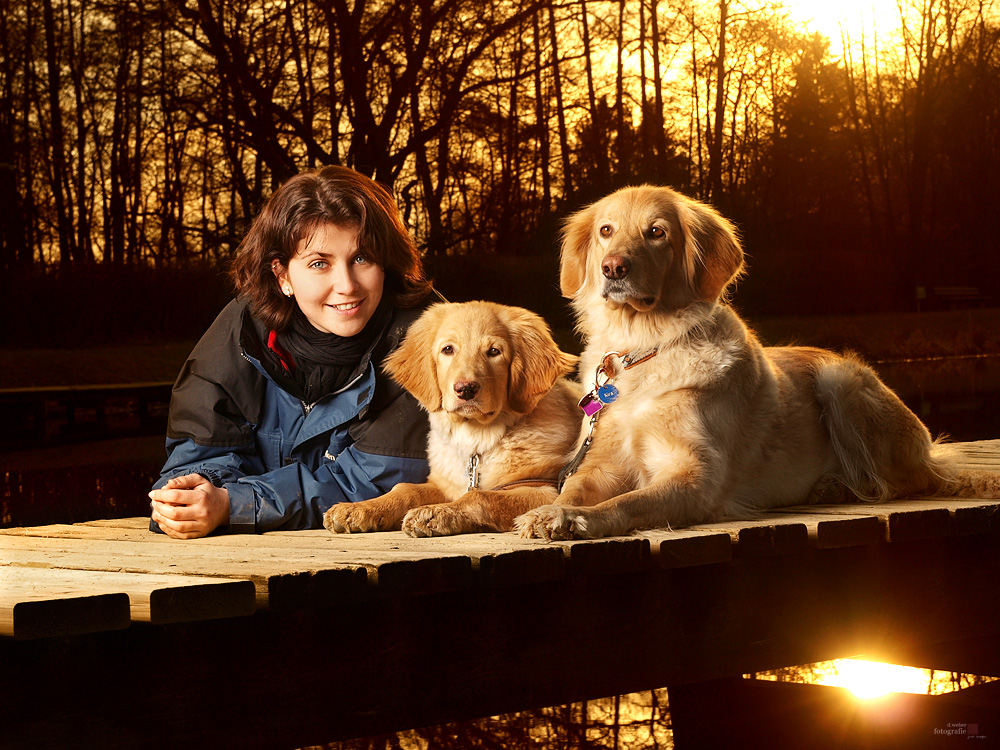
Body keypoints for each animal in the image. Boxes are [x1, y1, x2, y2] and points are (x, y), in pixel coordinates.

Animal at [324, 302, 584, 536]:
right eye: (448, 349)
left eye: (494, 352)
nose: (466, 389)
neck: (477, 440)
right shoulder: (443, 483)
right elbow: (406, 489)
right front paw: (360, 509)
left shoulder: (544, 489)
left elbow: (479, 495)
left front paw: (436, 513)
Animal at [516, 187, 1000, 540]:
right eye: (605, 230)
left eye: (656, 232)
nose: (614, 267)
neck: (645, 348)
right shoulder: (599, 460)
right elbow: (573, 488)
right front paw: (553, 512)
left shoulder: (697, 477)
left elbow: (626, 502)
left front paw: (576, 519)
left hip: (840, 380)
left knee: (909, 480)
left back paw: (839, 482)